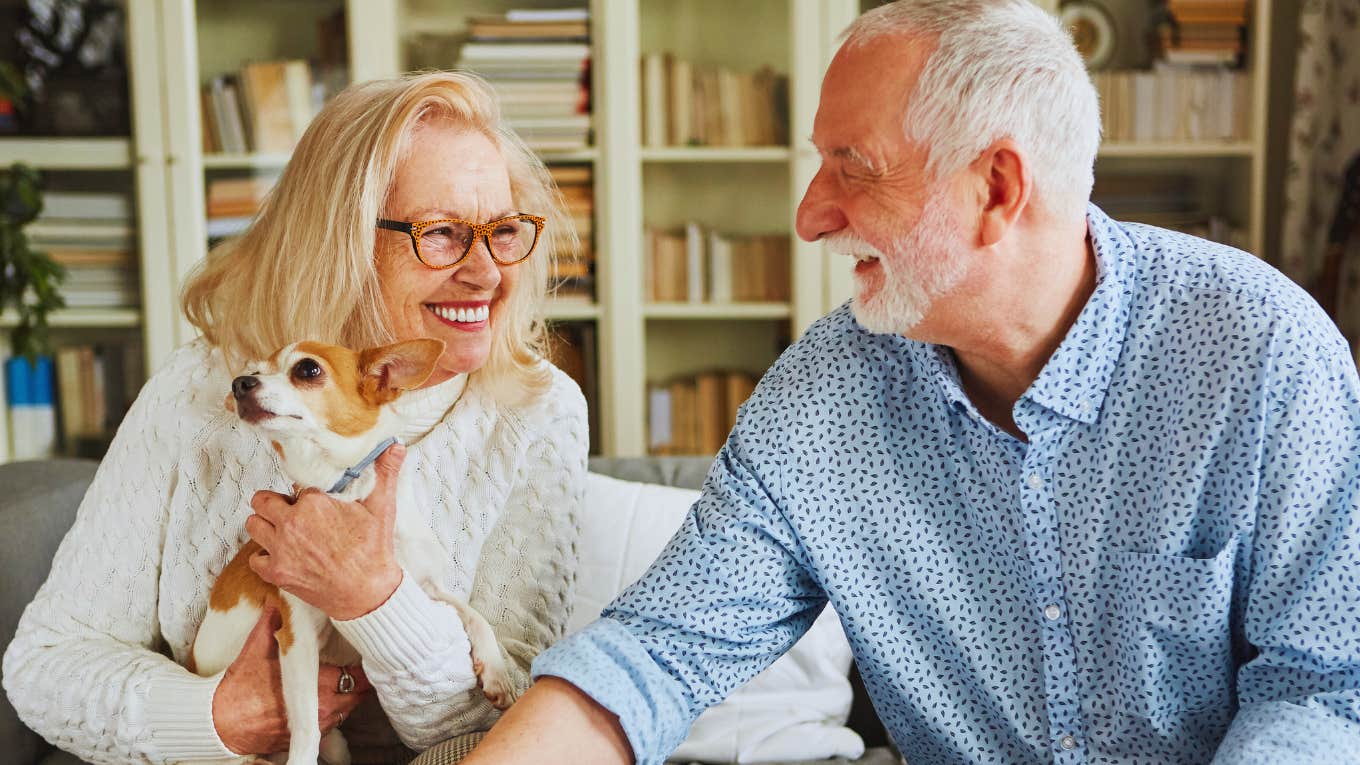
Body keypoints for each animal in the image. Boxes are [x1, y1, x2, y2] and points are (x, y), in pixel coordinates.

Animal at [183, 337, 511, 762]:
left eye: (307, 369)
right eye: (253, 371)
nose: (240, 384)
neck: (346, 490)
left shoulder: (423, 588)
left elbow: (474, 616)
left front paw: (496, 670)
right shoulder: (298, 636)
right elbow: (306, 725)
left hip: (339, 746)